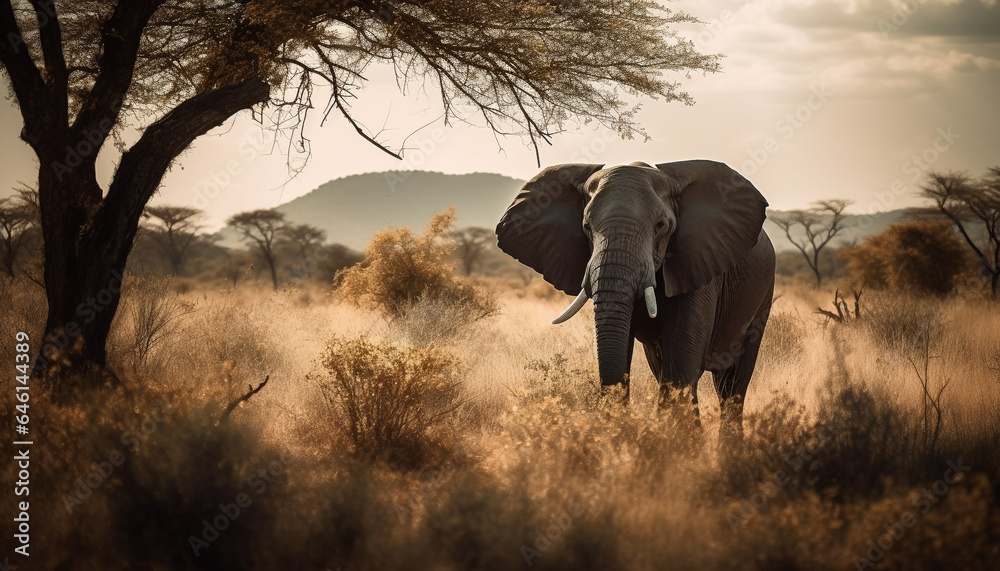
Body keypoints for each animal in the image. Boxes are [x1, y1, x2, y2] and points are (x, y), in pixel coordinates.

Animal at [495, 160, 775, 434]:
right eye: (586, 227)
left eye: (661, 226)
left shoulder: (697, 261)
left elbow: (681, 363)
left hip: (763, 293)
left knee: (732, 383)